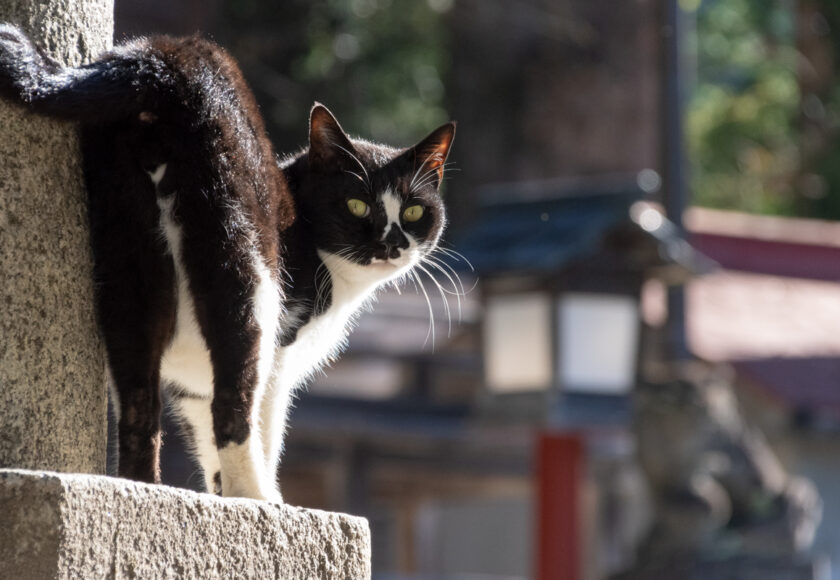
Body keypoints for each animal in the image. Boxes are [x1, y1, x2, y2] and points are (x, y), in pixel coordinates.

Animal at [0, 24, 456, 500]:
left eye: (414, 212)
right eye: (357, 205)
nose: (391, 243)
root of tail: (168, 63)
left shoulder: (189, 388)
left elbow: (203, 436)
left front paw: (221, 495)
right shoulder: (280, 359)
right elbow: (266, 428)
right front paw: (254, 496)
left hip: (127, 250)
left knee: (139, 407)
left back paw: (143, 486)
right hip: (245, 262)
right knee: (233, 405)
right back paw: (260, 499)